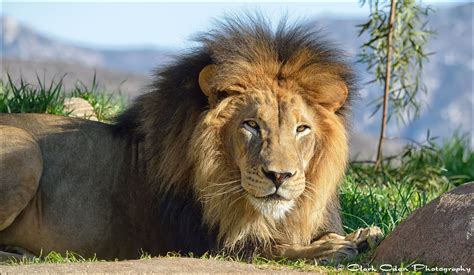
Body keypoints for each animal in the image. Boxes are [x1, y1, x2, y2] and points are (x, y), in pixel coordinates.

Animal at [0, 16, 384, 264]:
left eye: (302, 129)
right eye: (251, 125)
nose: (280, 176)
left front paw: (365, 235)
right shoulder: (202, 241)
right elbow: (269, 247)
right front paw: (332, 248)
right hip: (25, 149)